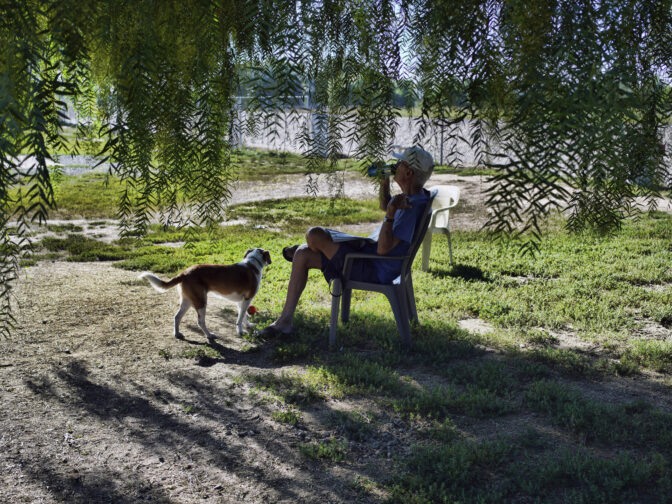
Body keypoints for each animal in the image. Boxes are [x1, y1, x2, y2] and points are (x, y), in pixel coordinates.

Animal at [138, 249, 270, 342]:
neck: (252, 264)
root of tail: (185, 272)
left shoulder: (241, 301)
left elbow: (243, 316)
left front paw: (247, 325)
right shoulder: (247, 299)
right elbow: (240, 318)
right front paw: (240, 331)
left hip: (188, 301)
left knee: (177, 317)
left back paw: (177, 334)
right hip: (201, 302)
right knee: (200, 322)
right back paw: (209, 335)